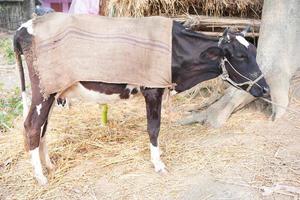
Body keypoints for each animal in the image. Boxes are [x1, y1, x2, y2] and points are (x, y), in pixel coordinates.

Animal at [14, 18, 270, 184]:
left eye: (254, 51)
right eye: (240, 56)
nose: (266, 88)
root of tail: (25, 26)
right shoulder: (152, 90)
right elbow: (154, 128)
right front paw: (158, 164)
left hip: (53, 93)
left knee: (43, 127)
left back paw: (49, 166)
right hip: (43, 93)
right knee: (32, 126)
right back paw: (40, 177)